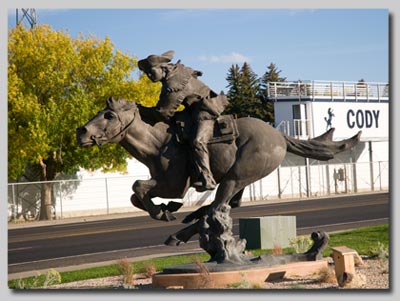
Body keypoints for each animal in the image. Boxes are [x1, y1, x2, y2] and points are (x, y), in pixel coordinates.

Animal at [76, 97, 360, 262]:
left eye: (108, 115)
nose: (82, 132)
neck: (157, 143)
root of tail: (279, 137)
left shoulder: (174, 185)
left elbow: (138, 188)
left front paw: (164, 211)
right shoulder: (163, 182)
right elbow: (136, 194)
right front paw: (166, 209)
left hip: (236, 177)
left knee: (217, 206)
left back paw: (179, 233)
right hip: (237, 180)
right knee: (223, 206)